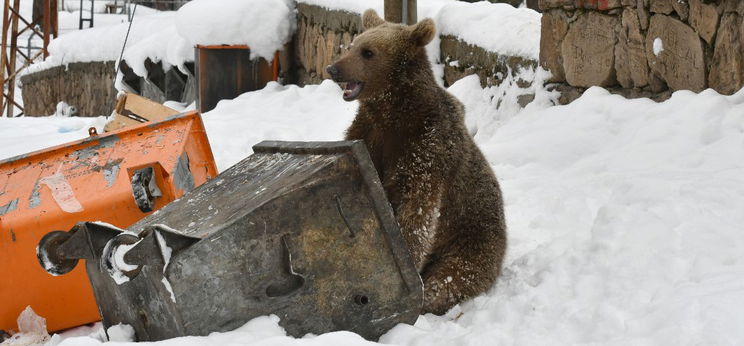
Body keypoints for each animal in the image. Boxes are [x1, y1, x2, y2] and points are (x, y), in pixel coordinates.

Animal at [326, 9, 506, 314]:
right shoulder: (369, 136)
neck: (393, 112)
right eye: (352, 45)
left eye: (368, 52)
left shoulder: (426, 148)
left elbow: (417, 212)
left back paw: (428, 298)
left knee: (453, 276)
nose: (333, 69)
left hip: (472, 238)